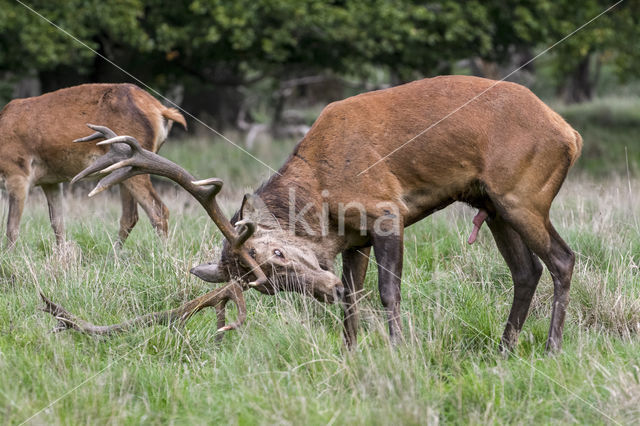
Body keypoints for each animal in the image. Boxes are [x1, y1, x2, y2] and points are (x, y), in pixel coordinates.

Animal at [0, 83, 185, 246]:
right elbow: (58, 224)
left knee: (158, 211)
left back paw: (162, 254)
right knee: (130, 216)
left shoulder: (17, 171)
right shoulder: (50, 181)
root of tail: (161, 109)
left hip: (133, 159)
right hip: (127, 169)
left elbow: (12, 229)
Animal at [38, 75, 580, 352]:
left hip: (523, 192)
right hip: (491, 202)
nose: (324, 288)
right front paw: (352, 352)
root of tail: (568, 133)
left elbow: (388, 291)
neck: (323, 200)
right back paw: (505, 349)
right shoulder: (354, 240)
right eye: (268, 289)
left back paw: (551, 348)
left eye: (277, 255)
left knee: (562, 259)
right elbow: (354, 300)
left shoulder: (385, 210)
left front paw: (398, 351)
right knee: (526, 271)